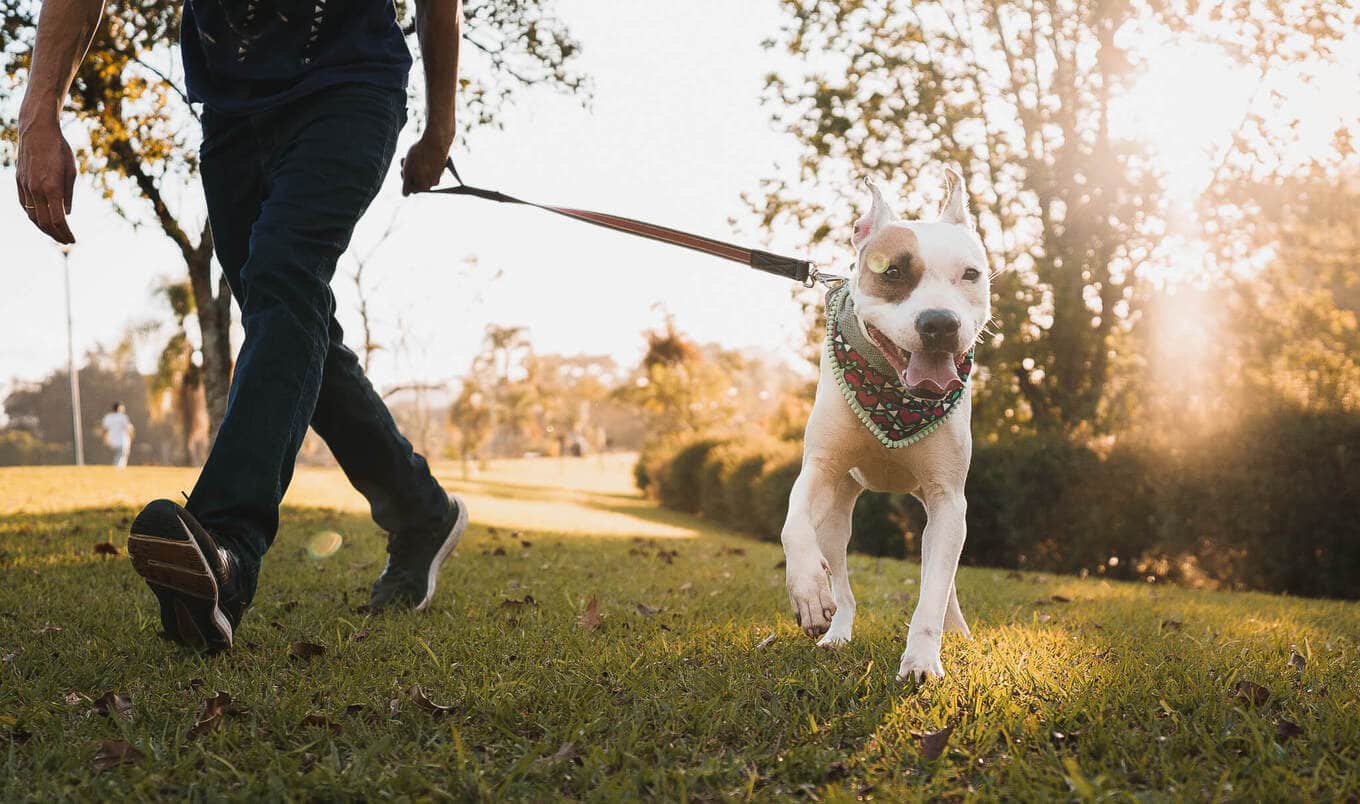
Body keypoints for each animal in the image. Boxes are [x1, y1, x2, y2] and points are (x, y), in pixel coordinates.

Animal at [783, 168, 995, 680]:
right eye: (892, 272)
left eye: (970, 274)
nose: (940, 323)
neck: (894, 400)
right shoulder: (819, 469)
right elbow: (792, 524)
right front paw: (807, 590)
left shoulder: (948, 500)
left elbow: (933, 591)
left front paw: (921, 659)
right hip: (837, 518)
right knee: (842, 582)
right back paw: (837, 630)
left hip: (938, 517)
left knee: (943, 577)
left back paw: (956, 631)